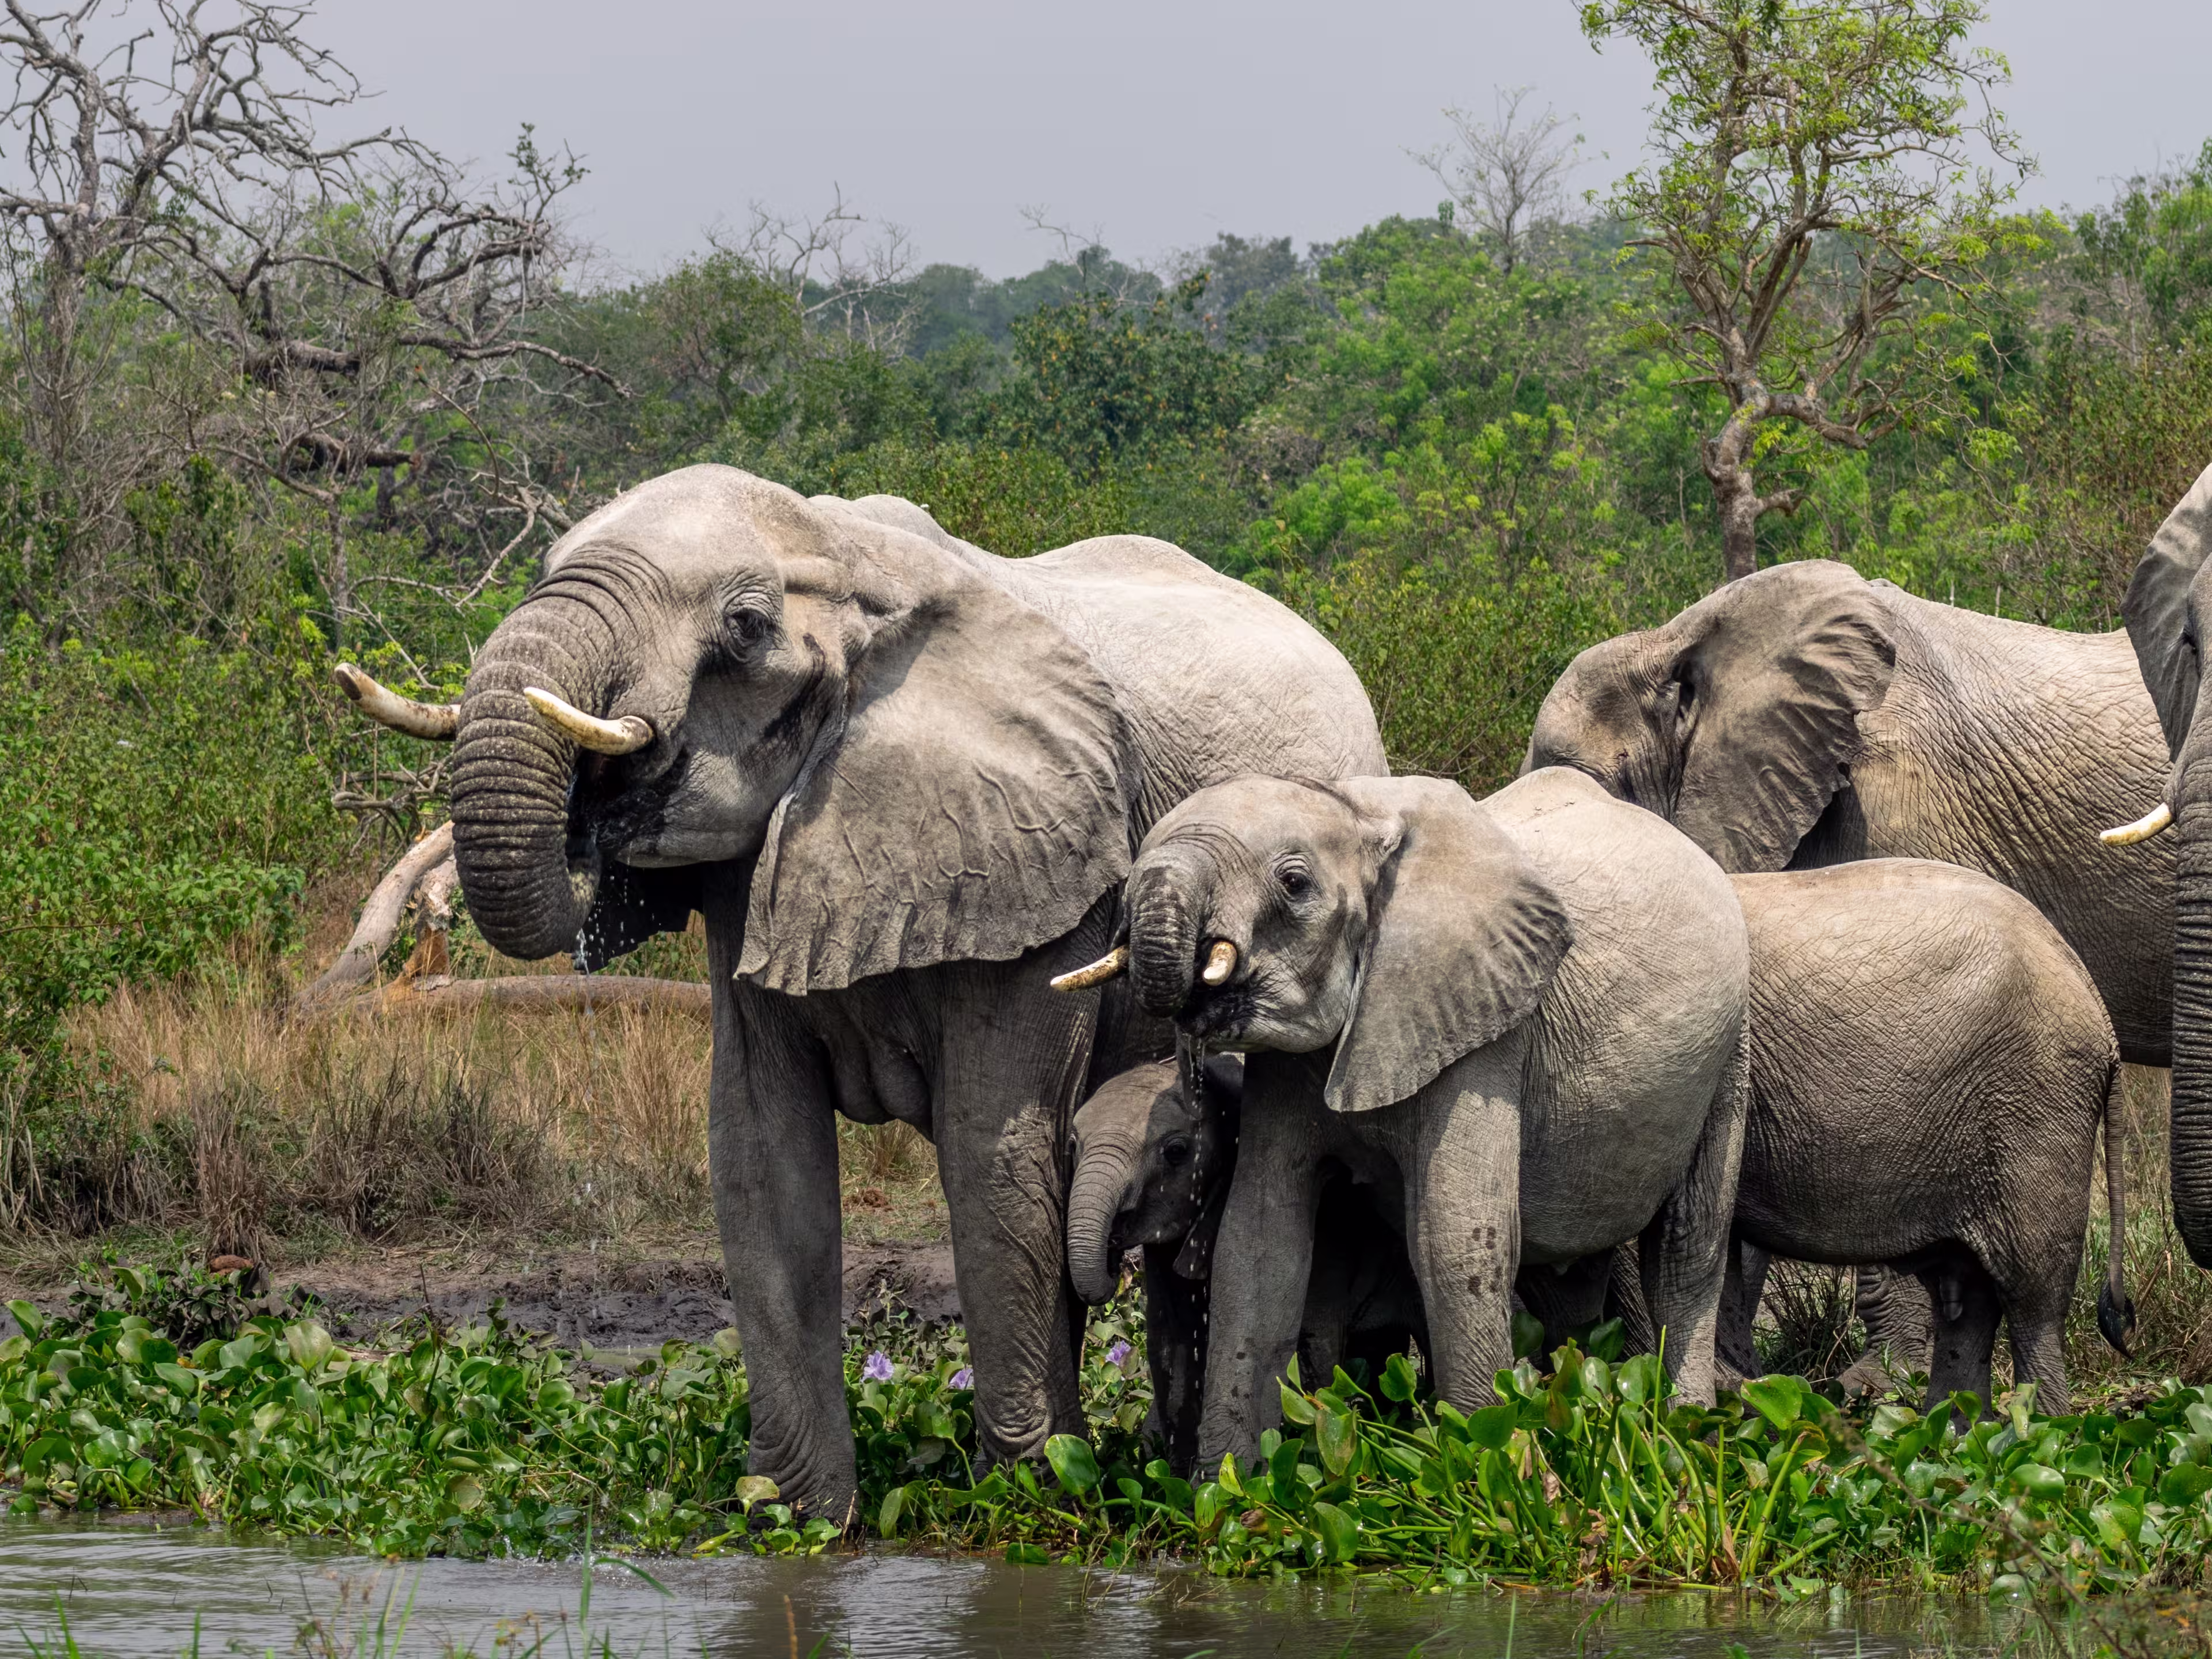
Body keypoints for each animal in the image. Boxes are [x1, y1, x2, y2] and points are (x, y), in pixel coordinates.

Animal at [335, 464, 1386, 1514]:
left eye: (745, 626)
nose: (591, 808)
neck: (843, 556)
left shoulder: (1046, 865)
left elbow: (990, 1145)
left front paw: (1028, 1503)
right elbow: (760, 1149)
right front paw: (793, 1518)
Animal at [1064, 1054, 1426, 1475]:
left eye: (1176, 1151)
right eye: (1072, 1145)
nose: (1114, 1256)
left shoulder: (1330, 1229)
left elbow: (1313, 1342)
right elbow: (1171, 1344)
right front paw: (1175, 1479)